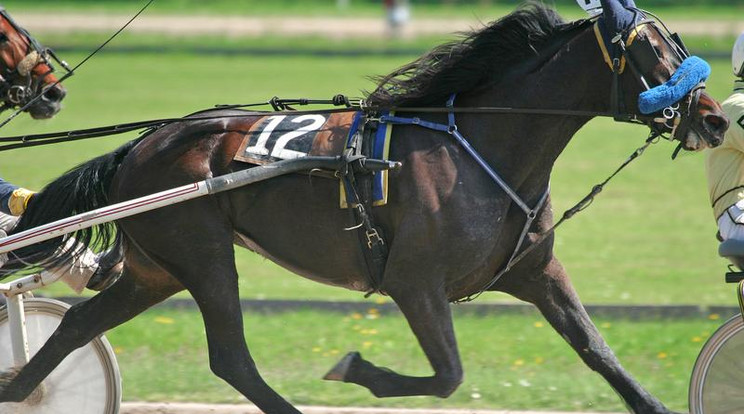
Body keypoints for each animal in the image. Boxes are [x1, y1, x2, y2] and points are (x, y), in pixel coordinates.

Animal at [0, 1, 728, 412]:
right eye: (650, 47)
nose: (716, 119)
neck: (481, 147)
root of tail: (143, 144)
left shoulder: (536, 272)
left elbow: (602, 356)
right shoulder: (415, 281)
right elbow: (447, 375)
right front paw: (355, 369)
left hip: (158, 269)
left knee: (76, 326)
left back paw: (18, 388)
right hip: (202, 255)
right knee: (230, 358)